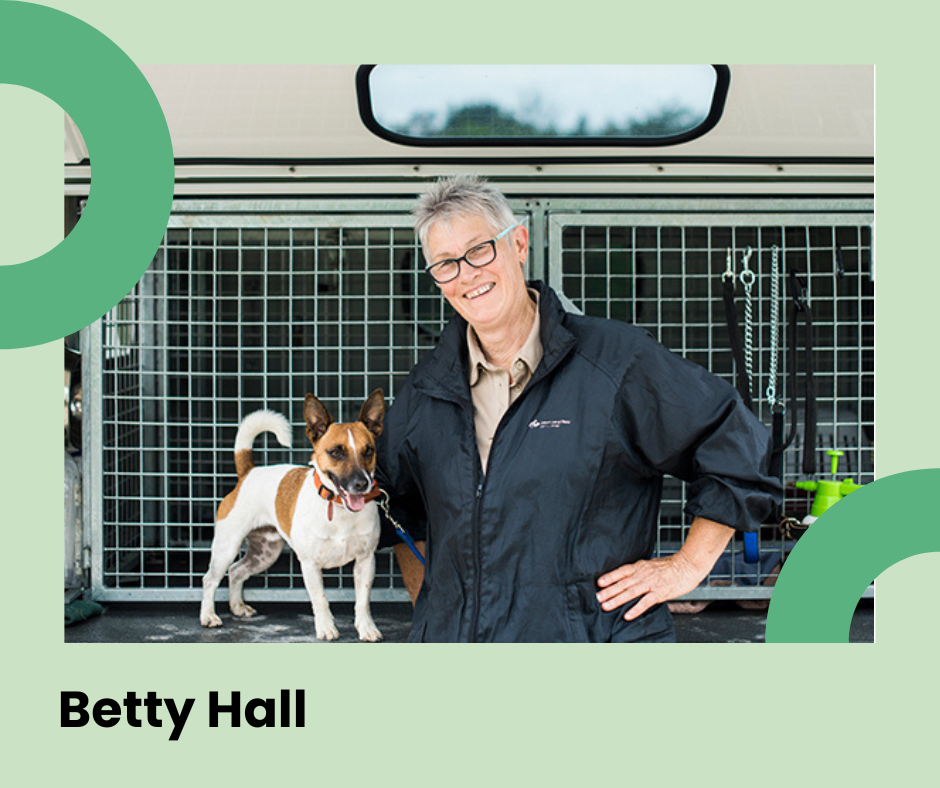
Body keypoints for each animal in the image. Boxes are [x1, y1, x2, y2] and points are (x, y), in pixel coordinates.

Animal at [200, 388, 388, 640]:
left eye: (369, 450)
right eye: (336, 452)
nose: (362, 484)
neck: (338, 508)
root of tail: (248, 472)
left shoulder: (365, 561)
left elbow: (363, 601)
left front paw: (366, 628)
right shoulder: (310, 564)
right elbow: (320, 600)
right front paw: (326, 628)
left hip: (265, 553)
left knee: (237, 571)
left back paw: (238, 607)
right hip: (226, 547)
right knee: (210, 579)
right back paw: (208, 616)